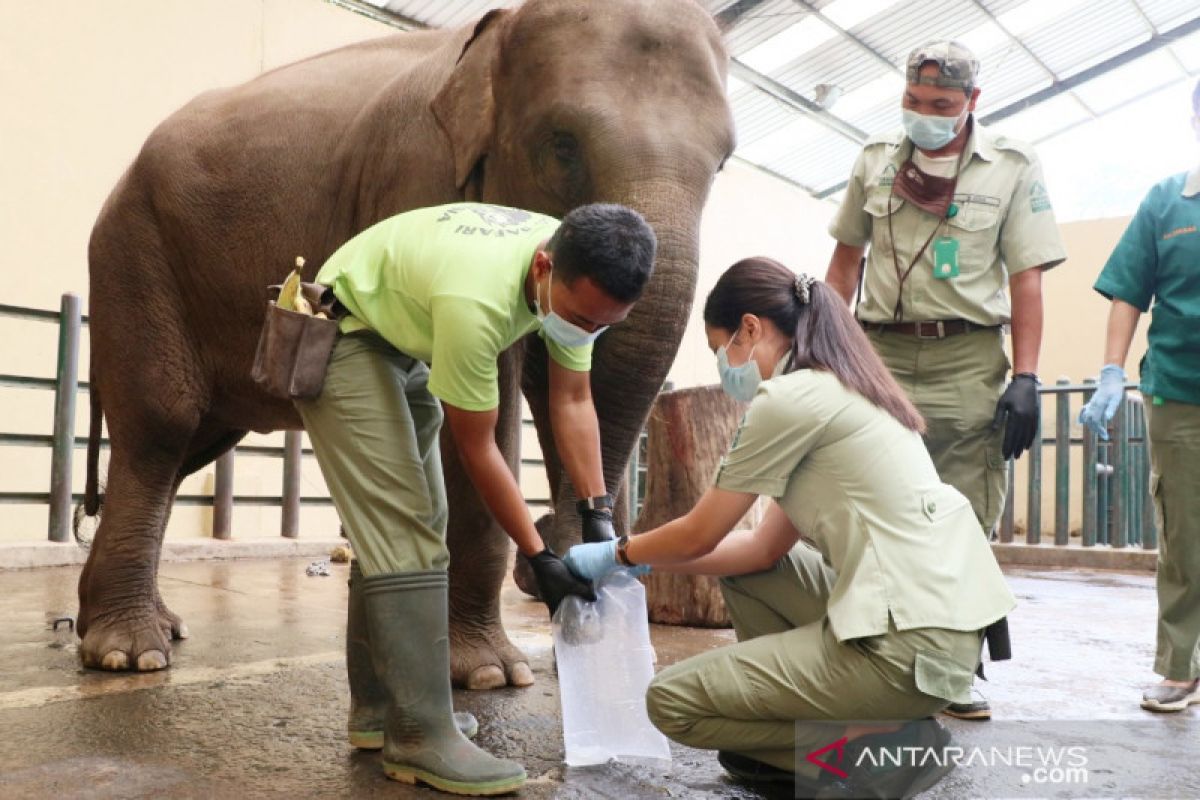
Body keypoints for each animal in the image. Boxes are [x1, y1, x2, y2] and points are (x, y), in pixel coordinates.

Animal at [77, 0, 729, 690]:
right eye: (562, 145)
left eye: (721, 165)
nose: (568, 569)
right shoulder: (423, 182)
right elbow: (478, 425)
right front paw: (491, 675)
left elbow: (562, 398)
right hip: (133, 256)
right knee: (163, 426)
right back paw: (131, 654)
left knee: (192, 447)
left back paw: (131, 627)